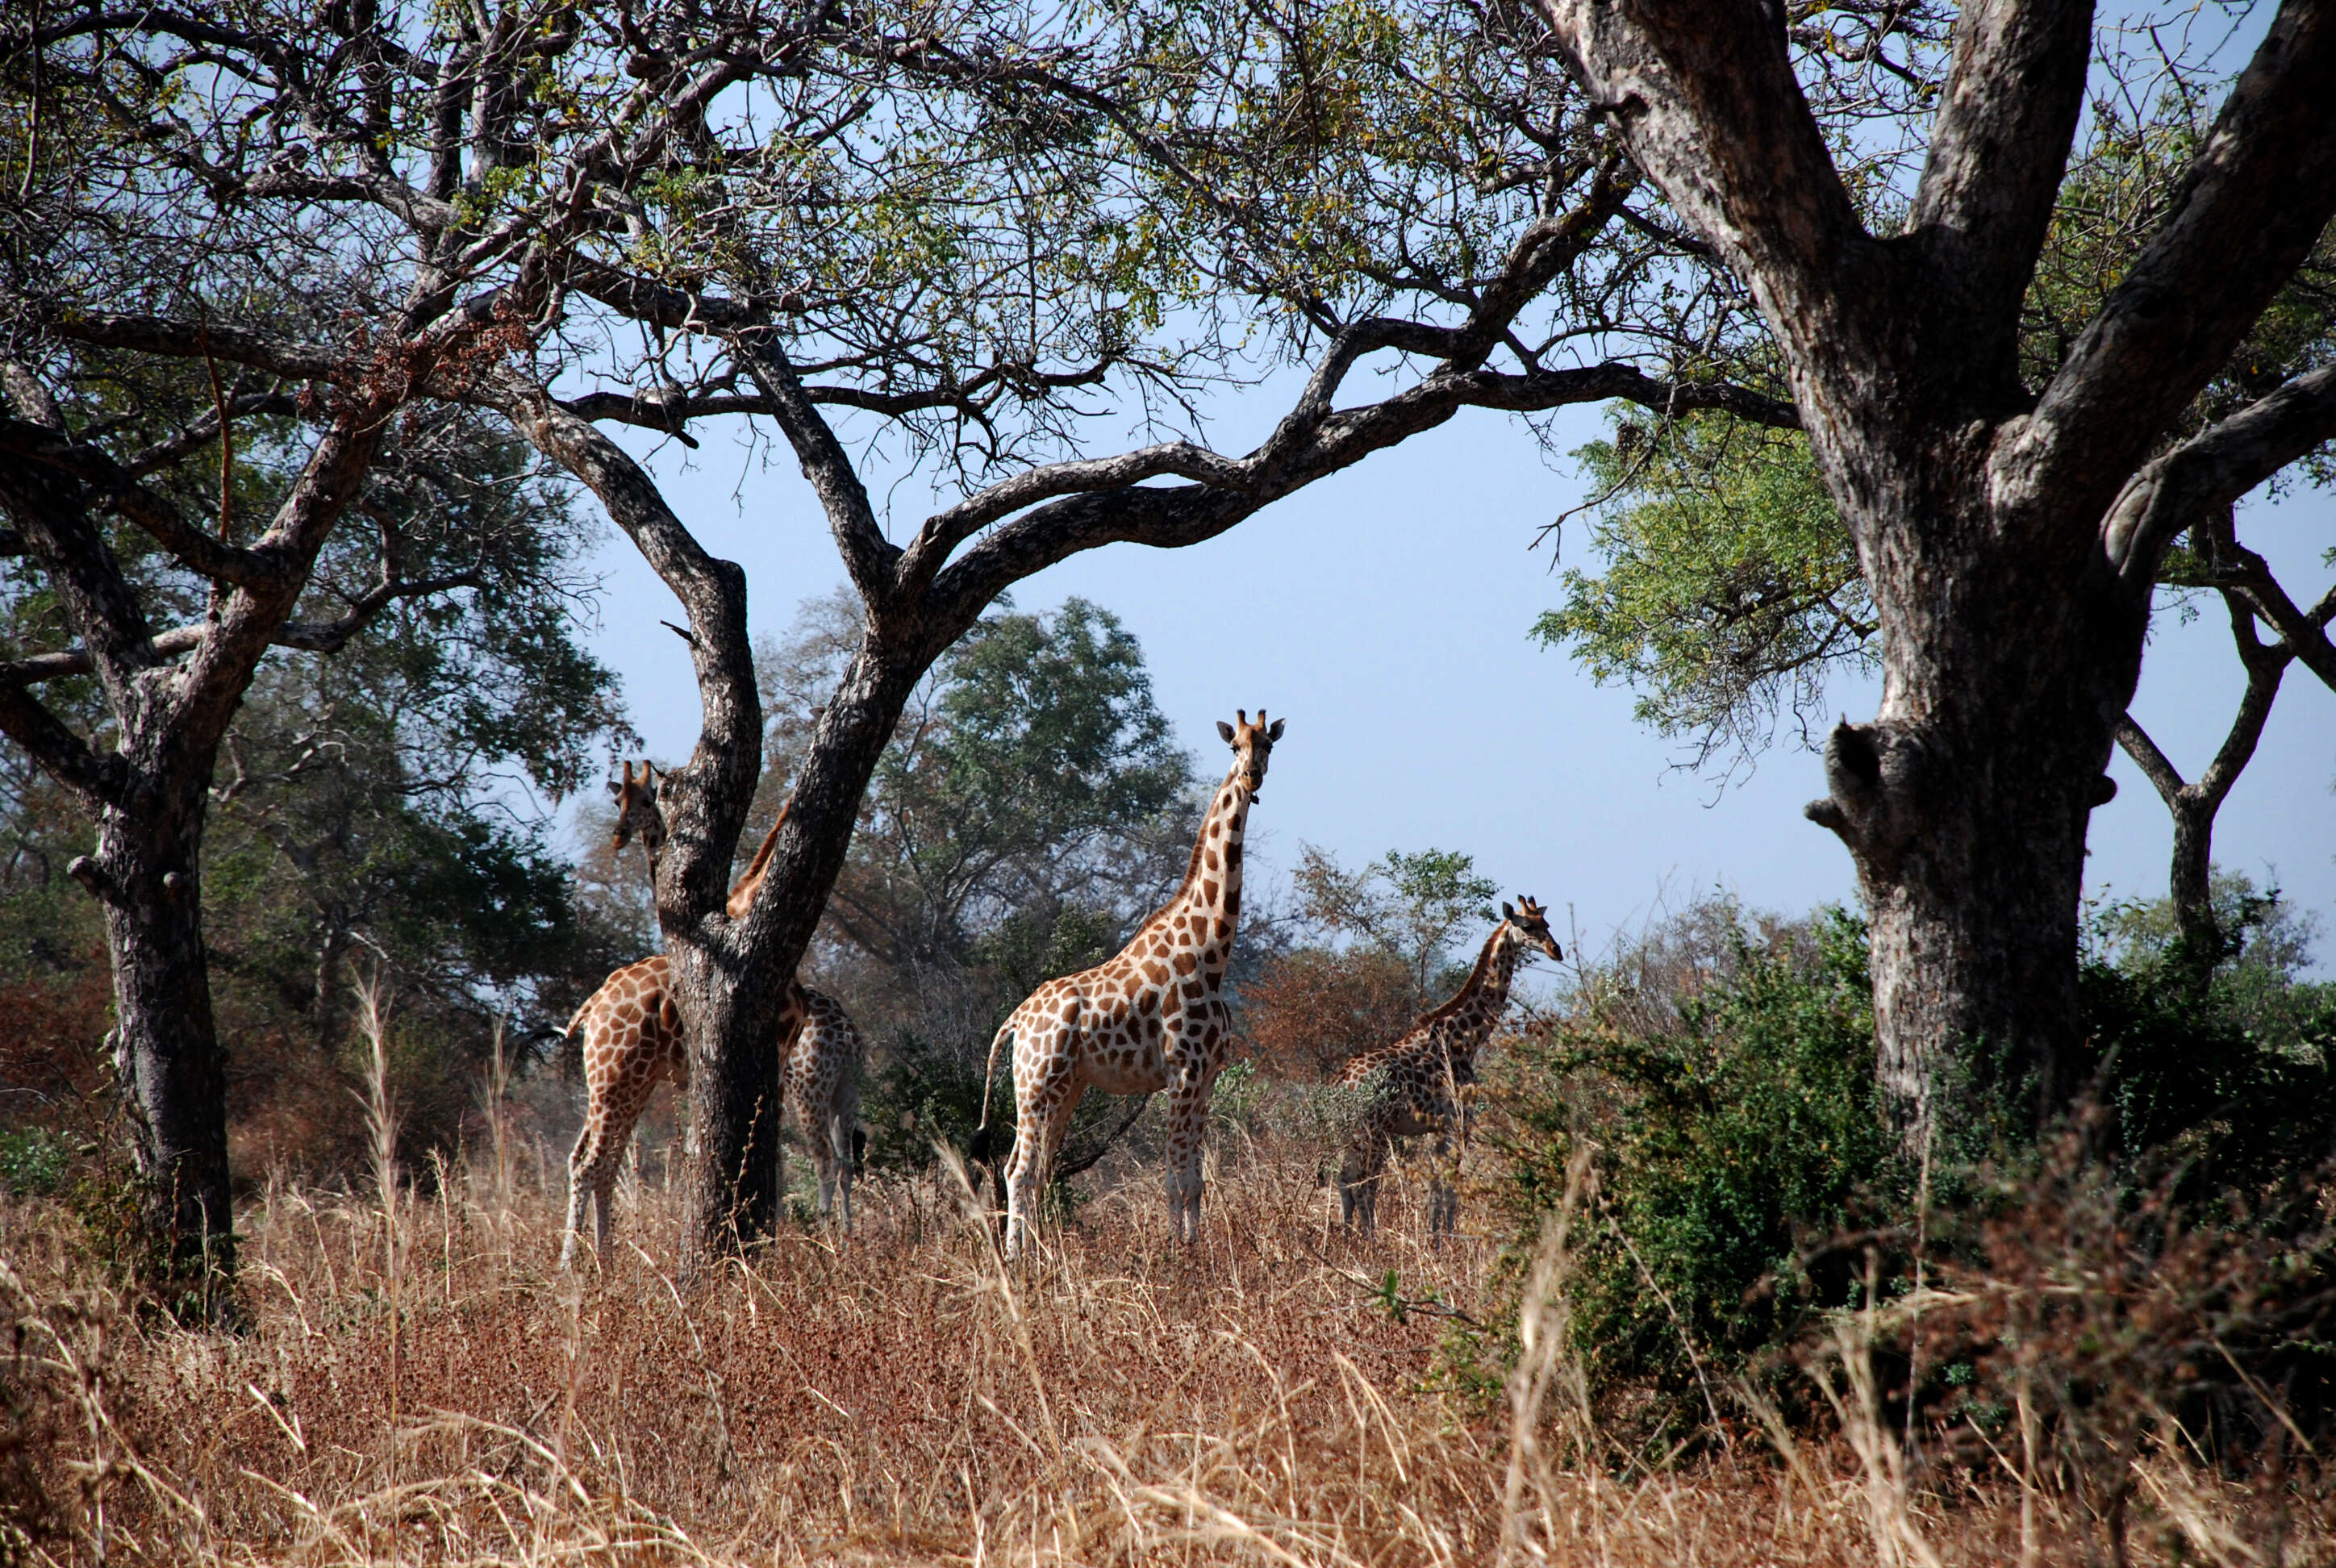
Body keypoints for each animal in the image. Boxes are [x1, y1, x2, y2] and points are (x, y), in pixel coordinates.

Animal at [976, 710, 1289, 1261]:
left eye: (1268, 745)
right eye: (1235, 747)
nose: (1252, 777)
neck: (1213, 954)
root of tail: (1014, 1021)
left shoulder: (1207, 1078)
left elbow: (1196, 1179)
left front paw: (1194, 1250)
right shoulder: (1182, 1073)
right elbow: (1174, 1178)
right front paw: (1178, 1255)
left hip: (1067, 1087)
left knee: (1037, 1168)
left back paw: (1041, 1256)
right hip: (1033, 1084)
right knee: (1018, 1169)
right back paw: (1016, 1260)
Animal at [1345, 902, 1560, 1243]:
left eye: (1547, 924)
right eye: (1527, 926)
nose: (1557, 950)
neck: (1465, 1038)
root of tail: (1342, 1081)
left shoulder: (1436, 1128)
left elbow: (1436, 1186)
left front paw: (1434, 1238)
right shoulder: (1460, 1120)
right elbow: (1451, 1186)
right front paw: (1446, 1240)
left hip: (1352, 1133)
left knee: (1346, 1183)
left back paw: (1345, 1237)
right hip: (1375, 1130)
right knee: (1365, 1186)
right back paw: (1370, 1242)